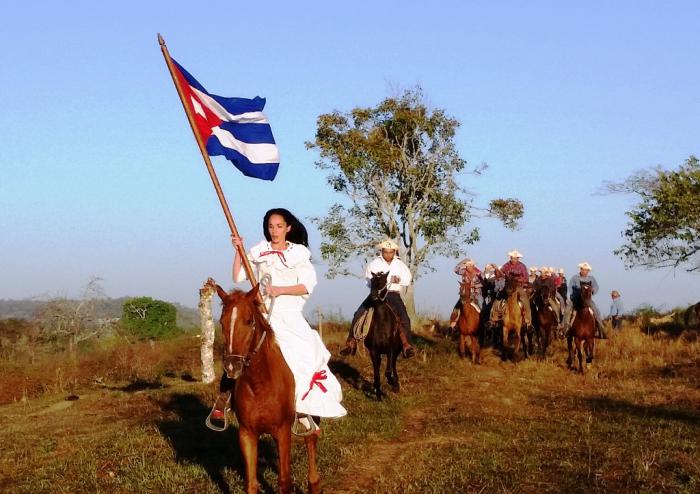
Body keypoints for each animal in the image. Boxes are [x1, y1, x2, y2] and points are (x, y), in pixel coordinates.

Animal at [215, 284, 322, 494]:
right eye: (222, 322)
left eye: (249, 321)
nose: (232, 366)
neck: (260, 385)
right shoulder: (247, 433)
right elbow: (251, 484)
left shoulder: (283, 431)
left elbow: (284, 481)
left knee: (311, 438)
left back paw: (314, 484)